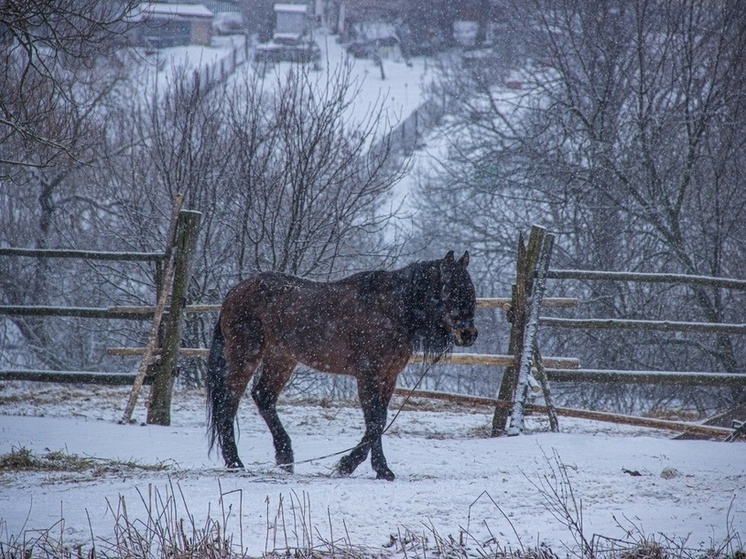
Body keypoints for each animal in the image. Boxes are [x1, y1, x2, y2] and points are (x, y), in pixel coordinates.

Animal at [205, 250, 476, 482]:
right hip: (245, 356)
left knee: (263, 397)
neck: (390, 309)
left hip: (281, 358)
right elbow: (374, 420)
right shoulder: (368, 375)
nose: (468, 334)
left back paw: (284, 457)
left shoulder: (388, 376)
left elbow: (379, 420)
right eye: (450, 288)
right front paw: (366, 467)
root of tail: (235, 291)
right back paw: (235, 462)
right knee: (229, 402)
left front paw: (359, 465)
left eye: (469, 288)